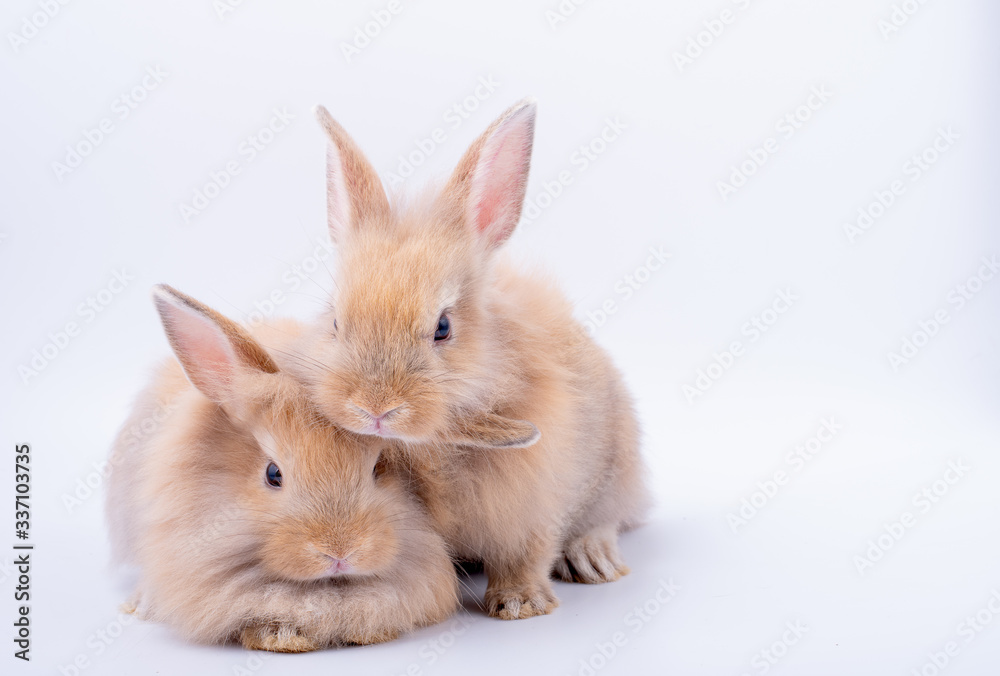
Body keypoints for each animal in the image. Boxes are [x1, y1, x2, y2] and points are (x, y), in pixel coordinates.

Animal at [289, 99, 651, 620]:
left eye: (443, 327)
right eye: (334, 320)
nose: (374, 409)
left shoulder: (534, 500)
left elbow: (527, 551)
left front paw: (520, 604)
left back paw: (592, 559)